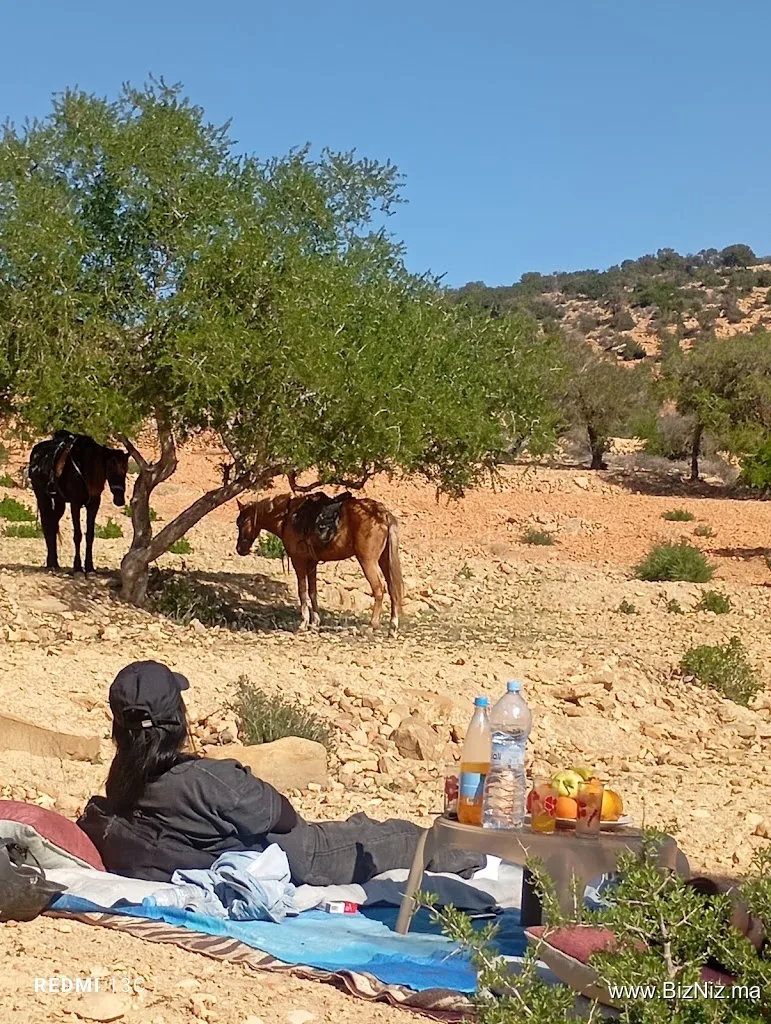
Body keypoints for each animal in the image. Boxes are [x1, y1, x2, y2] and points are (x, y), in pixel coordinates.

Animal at [28, 432, 129, 573]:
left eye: (125, 471)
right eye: (110, 468)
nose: (120, 500)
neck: (86, 469)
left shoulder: (93, 505)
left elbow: (90, 536)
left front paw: (90, 567)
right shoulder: (75, 504)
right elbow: (77, 535)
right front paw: (77, 567)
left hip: (59, 502)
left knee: (52, 525)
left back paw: (55, 563)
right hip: (43, 497)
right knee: (47, 525)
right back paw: (51, 564)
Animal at [235, 492, 404, 635]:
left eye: (241, 522)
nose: (240, 549)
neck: (287, 517)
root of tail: (382, 514)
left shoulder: (299, 561)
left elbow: (302, 591)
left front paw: (303, 623)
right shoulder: (312, 563)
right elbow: (313, 592)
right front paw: (315, 623)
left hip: (368, 561)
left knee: (379, 589)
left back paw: (371, 626)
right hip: (383, 560)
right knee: (392, 588)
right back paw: (393, 627)